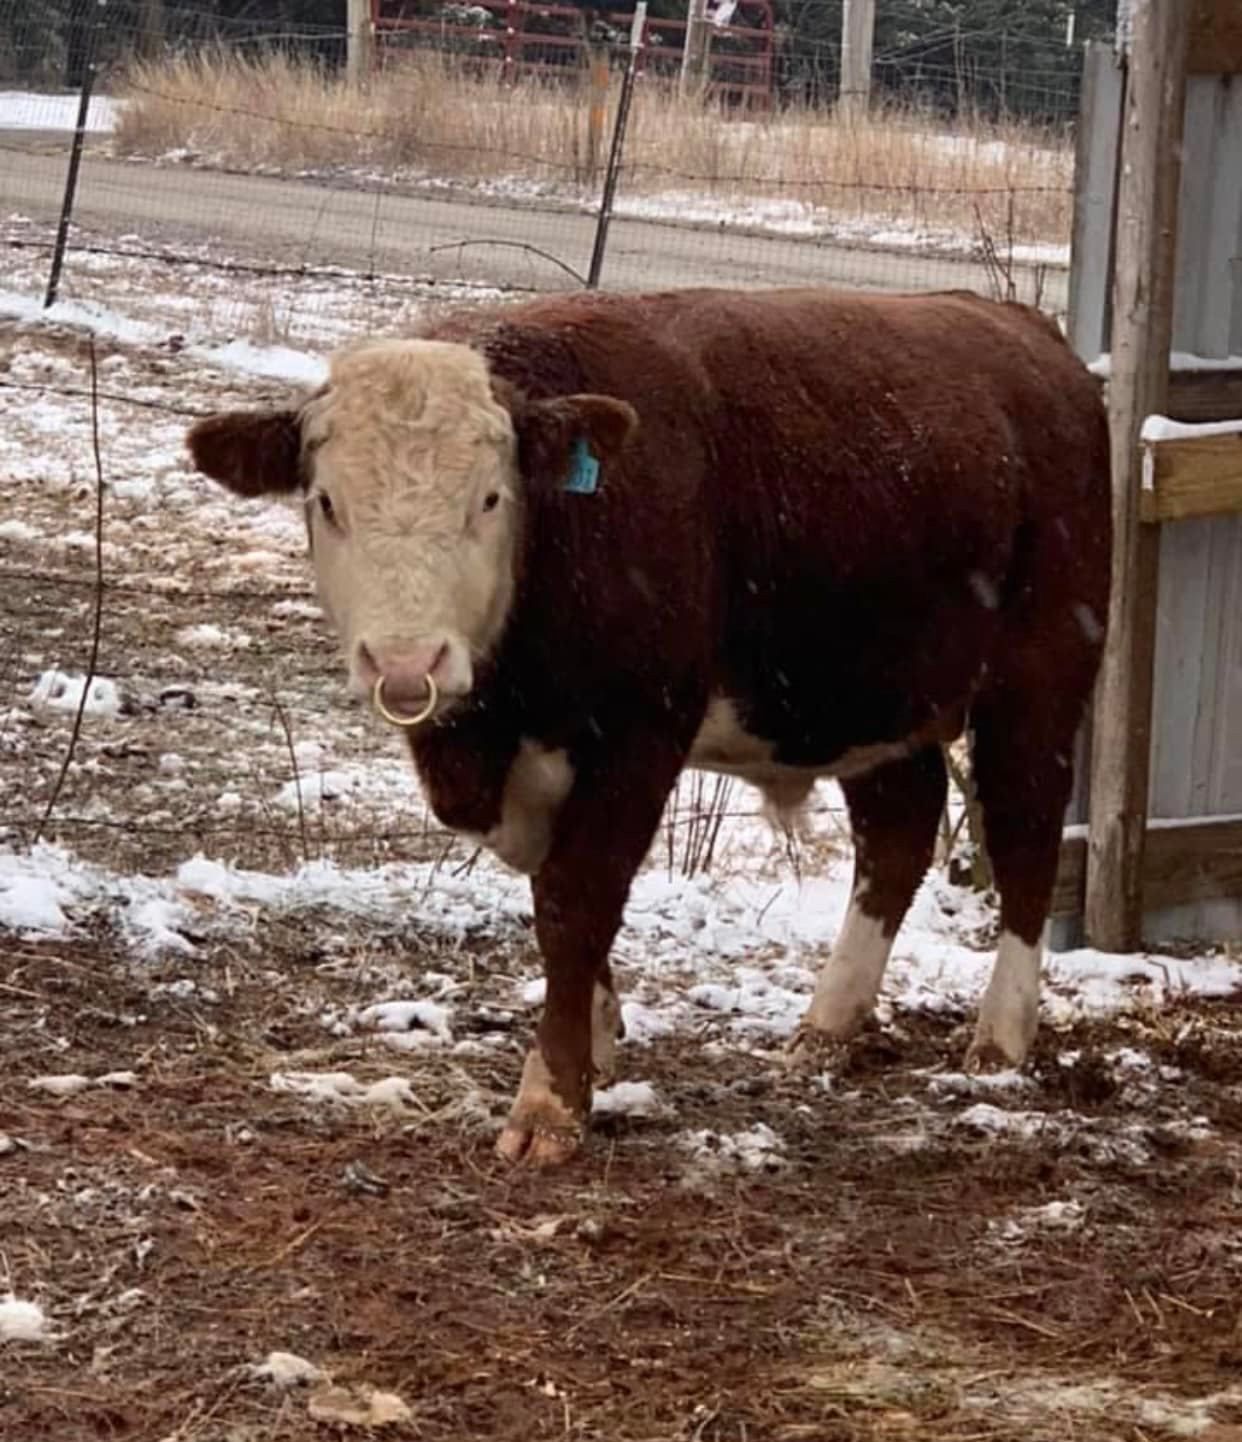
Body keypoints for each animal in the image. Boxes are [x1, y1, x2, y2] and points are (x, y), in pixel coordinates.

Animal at [188, 286, 1107, 1165]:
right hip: (872, 697)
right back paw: (828, 1024)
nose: (408, 662)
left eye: (489, 498)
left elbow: (575, 901)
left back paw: (999, 1039)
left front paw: (551, 1102)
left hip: (1041, 674)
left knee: (1024, 835)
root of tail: (1021, 329)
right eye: (327, 501)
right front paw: (595, 1044)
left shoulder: (640, 734)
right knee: (898, 832)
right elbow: (555, 895)